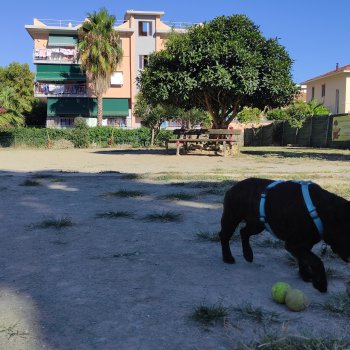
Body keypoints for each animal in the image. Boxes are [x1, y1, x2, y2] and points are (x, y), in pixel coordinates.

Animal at [220, 178, 348, 292]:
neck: (322, 213)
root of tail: (233, 188)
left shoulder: (304, 246)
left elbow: (305, 260)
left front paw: (305, 275)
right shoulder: (294, 245)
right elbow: (316, 261)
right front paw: (321, 284)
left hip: (257, 224)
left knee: (244, 232)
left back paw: (248, 255)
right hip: (232, 218)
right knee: (224, 236)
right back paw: (228, 258)